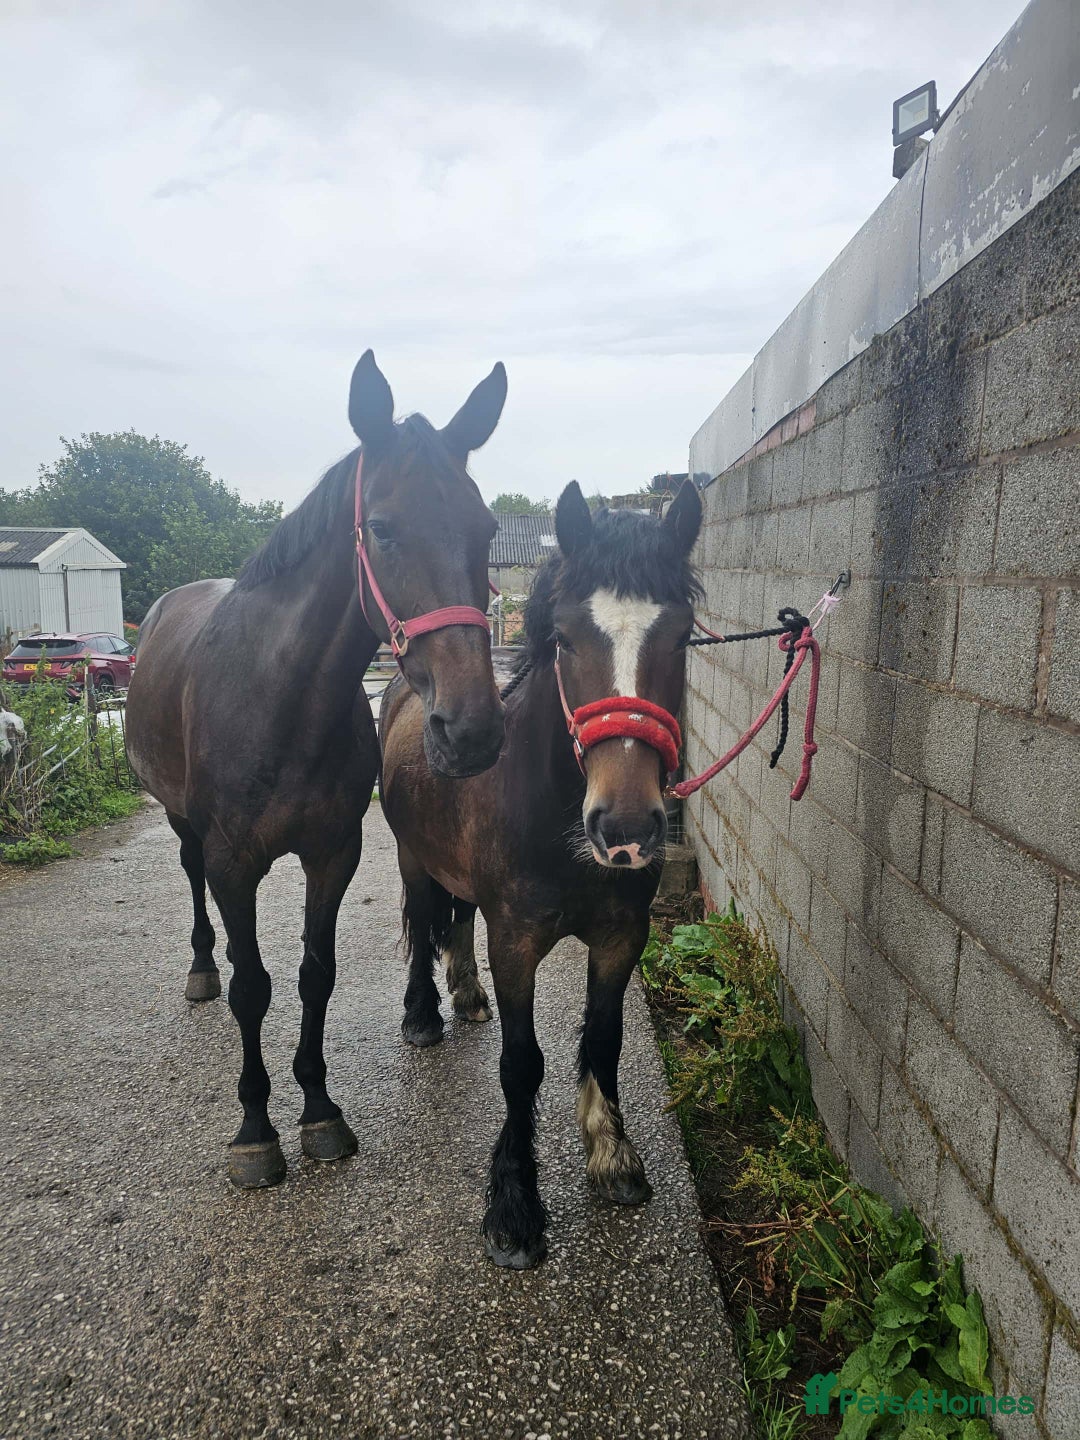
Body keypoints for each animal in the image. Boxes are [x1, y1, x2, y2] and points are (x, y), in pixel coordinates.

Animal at [126, 351, 508, 1190]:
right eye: (384, 528)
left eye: (487, 528)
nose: (470, 730)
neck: (280, 701)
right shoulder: (234, 864)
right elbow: (252, 986)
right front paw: (256, 1131)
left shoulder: (334, 853)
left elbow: (314, 975)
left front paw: (320, 1112)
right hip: (181, 821)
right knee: (190, 879)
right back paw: (199, 970)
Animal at [379, 478, 703, 1267]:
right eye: (564, 638)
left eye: (681, 637)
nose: (625, 830)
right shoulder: (517, 942)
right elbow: (522, 1064)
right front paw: (515, 1206)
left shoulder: (621, 938)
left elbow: (605, 1040)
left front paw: (612, 1156)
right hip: (414, 858)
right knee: (423, 922)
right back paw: (423, 1017)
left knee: (457, 918)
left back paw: (466, 994)